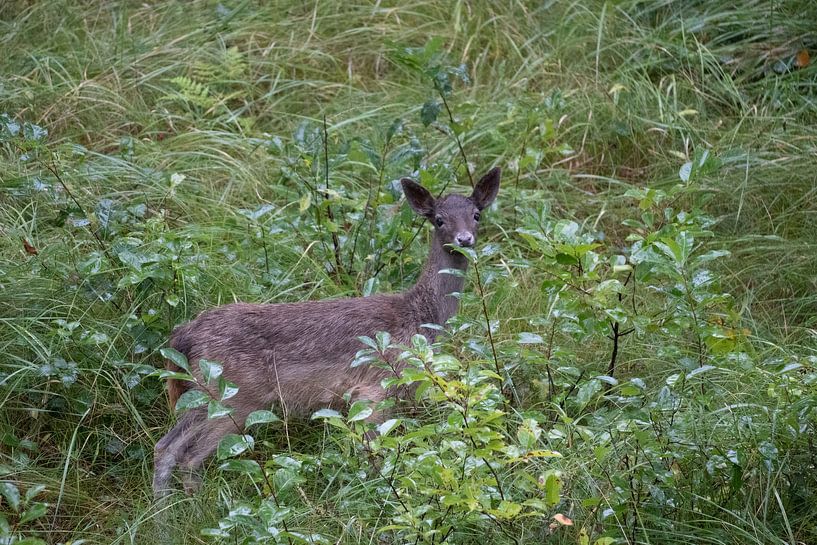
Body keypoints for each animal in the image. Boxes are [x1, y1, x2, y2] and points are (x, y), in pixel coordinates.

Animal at [152, 167, 501, 498]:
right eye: (439, 219)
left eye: (477, 214)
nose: (464, 239)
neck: (419, 318)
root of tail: (183, 335)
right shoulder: (374, 388)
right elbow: (376, 455)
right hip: (234, 395)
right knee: (189, 456)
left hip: (201, 393)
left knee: (165, 447)